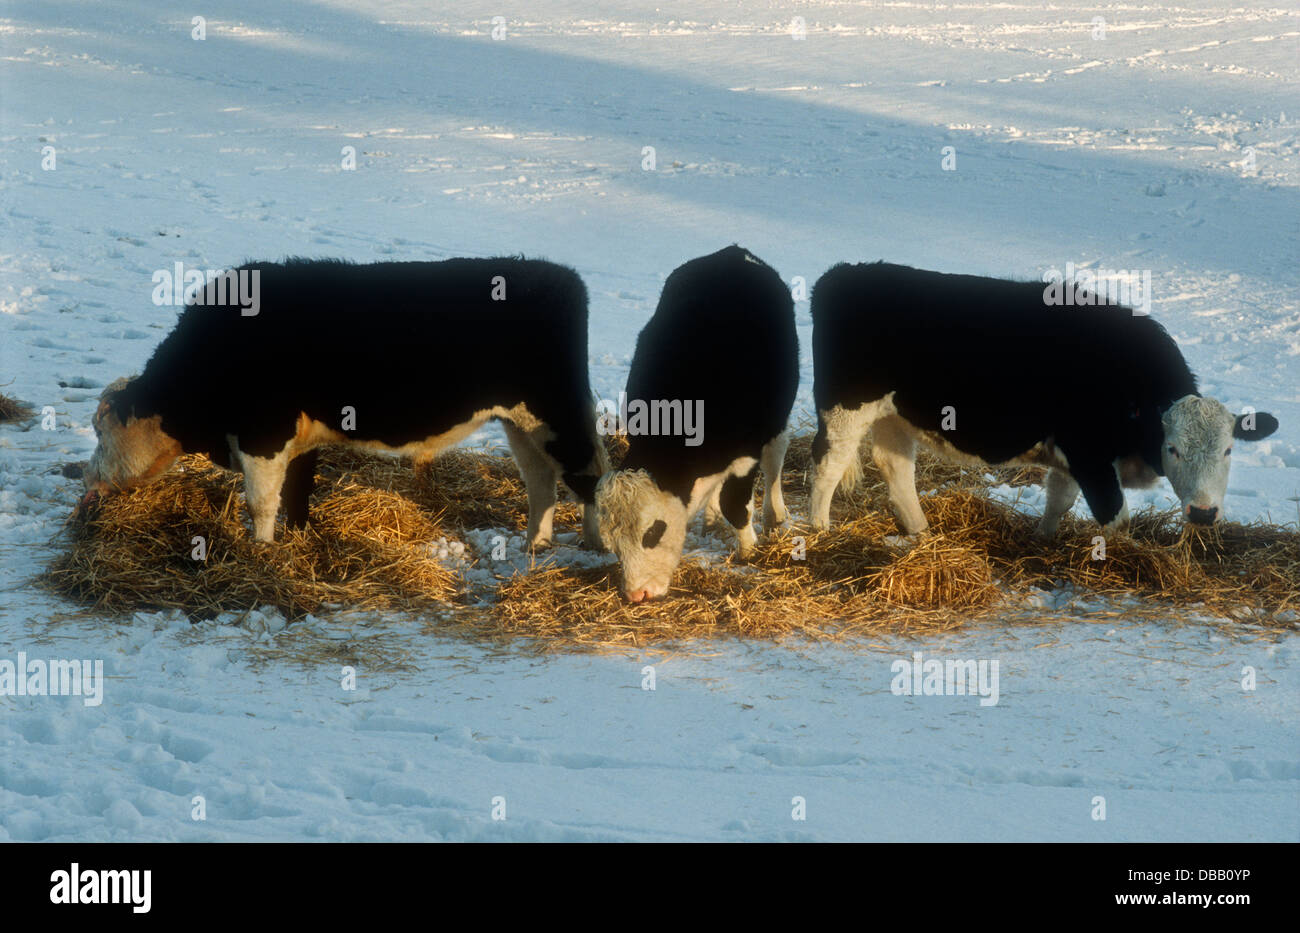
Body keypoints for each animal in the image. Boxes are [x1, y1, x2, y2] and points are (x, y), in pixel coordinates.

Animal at [84, 257, 608, 549]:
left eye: (99, 430)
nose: (87, 479)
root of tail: (561, 276)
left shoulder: (263, 434)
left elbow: (261, 503)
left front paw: (259, 553)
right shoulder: (299, 437)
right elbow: (297, 493)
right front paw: (296, 542)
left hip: (556, 411)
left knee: (589, 473)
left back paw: (597, 545)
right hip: (521, 422)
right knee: (541, 479)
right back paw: (535, 545)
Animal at [595, 245, 799, 602]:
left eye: (653, 532)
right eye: (613, 544)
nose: (636, 594)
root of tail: (733, 253)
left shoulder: (746, 453)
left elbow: (736, 504)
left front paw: (748, 551)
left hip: (776, 420)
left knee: (775, 459)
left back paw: (775, 514)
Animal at [808, 262, 1279, 538]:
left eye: (1228, 450)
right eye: (1174, 448)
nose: (1202, 513)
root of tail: (842, 273)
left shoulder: (1075, 456)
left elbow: (1059, 500)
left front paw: (1043, 543)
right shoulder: (1090, 454)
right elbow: (1116, 518)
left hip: (894, 414)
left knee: (896, 467)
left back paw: (922, 534)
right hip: (844, 408)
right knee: (828, 466)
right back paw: (819, 531)